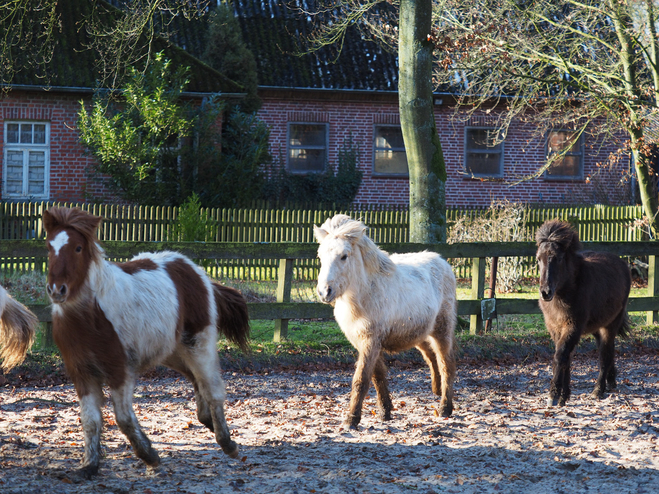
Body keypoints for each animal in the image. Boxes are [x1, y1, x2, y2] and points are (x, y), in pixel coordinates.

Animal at [43, 207, 250, 478]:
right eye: (49, 247)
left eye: (78, 248)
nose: (57, 290)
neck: (91, 314)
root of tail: (193, 269)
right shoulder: (81, 372)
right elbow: (90, 420)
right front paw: (89, 466)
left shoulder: (119, 370)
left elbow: (123, 418)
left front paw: (150, 456)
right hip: (172, 350)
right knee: (195, 379)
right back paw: (207, 421)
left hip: (198, 344)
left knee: (212, 387)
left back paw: (227, 443)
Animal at [316, 215, 458, 428]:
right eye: (320, 257)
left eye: (344, 256)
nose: (325, 292)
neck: (364, 294)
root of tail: (442, 262)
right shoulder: (364, 342)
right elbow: (378, 376)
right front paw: (385, 411)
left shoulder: (371, 341)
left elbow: (361, 379)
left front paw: (352, 419)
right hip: (419, 333)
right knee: (431, 358)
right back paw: (437, 389)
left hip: (442, 330)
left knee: (445, 363)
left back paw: (445, 407)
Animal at [536, 220, 636, 406]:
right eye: (539, 259)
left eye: (558, 258)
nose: (545, 292)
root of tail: (621, 264)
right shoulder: (555, 329)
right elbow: (565, 358)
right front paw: (564, 396)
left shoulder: (573, 327)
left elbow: (561, 356)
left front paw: (554, 395)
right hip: (597, 327)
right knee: (608, 350)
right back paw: (611, 381)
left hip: (611, 324)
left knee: (605, 354)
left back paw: (598, 390)